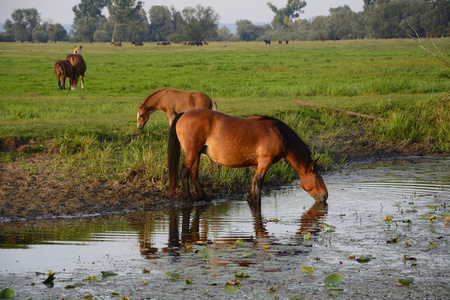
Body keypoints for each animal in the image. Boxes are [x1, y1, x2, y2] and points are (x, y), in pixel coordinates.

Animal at [167, 109, 328, 205]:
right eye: (316, 177)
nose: (325, 196)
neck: (278, 133)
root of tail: (184, 114)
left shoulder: (259, 163)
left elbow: (254, 179)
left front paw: (250, 198)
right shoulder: (265, 160)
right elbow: (259, 180)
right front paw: (256, 201)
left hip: (197, 153)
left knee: (193, 173)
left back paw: (203, 196)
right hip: (192, 151)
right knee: (185, 170)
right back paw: (187, 197)